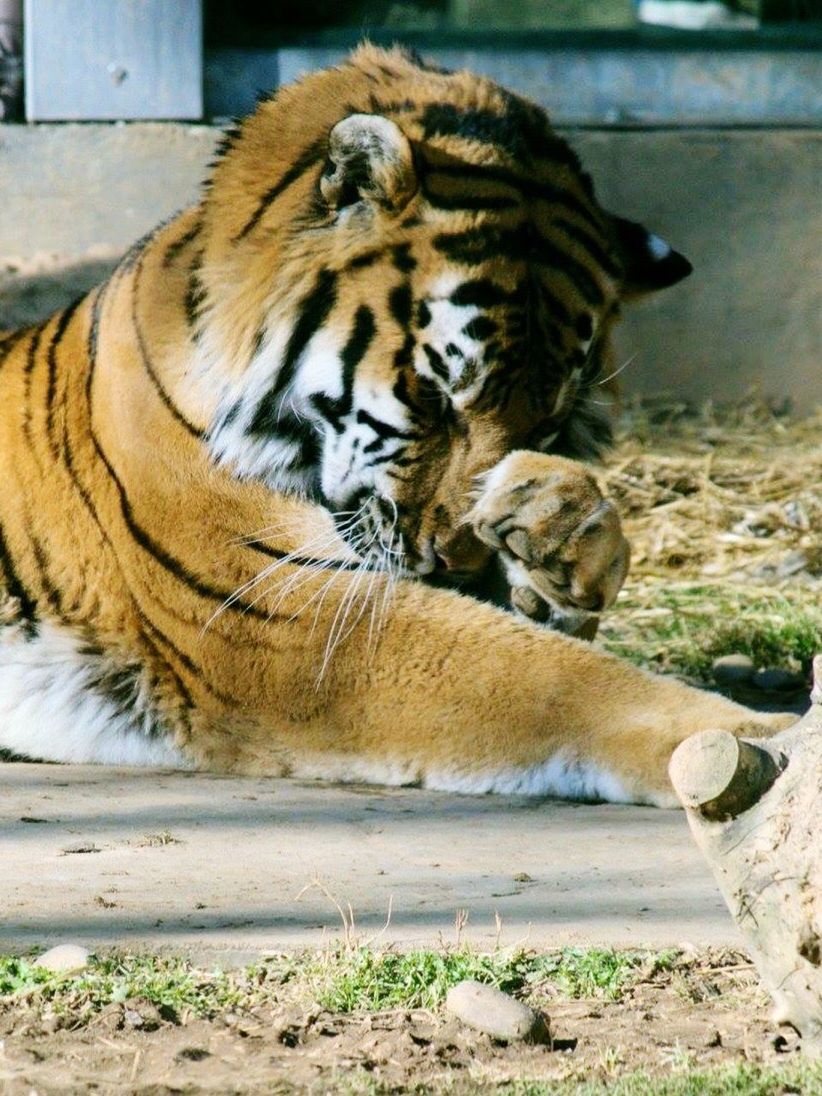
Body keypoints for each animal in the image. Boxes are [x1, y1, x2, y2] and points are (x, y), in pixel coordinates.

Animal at [0, 44, 793, 806]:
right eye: (433, 395)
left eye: (550, 422)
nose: (462, 567)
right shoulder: (286, 609)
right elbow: (561, 678)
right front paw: (768, 739)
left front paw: (558, 527)